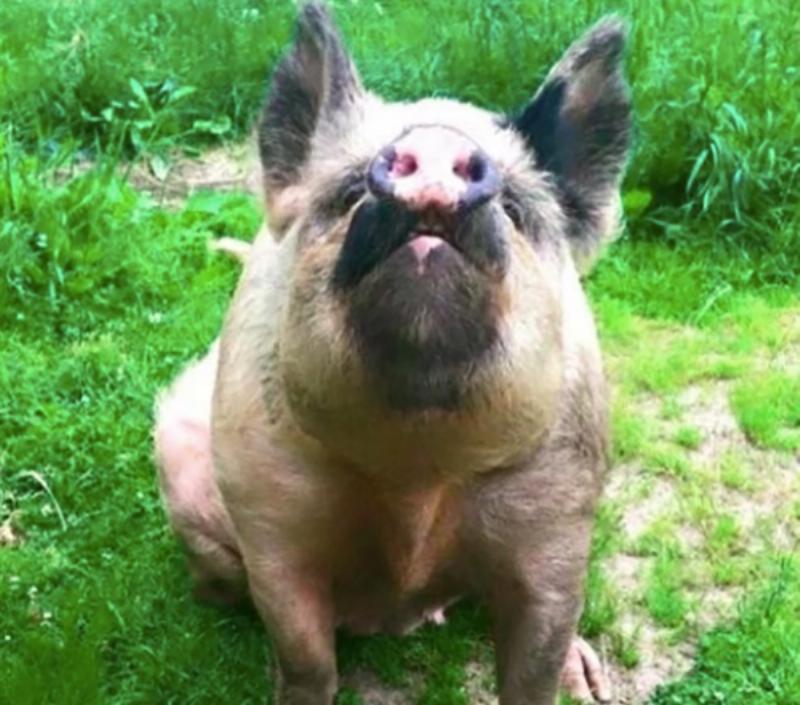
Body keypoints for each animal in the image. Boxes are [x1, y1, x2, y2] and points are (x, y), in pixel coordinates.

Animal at [154, 3, 632, 703]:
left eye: (515, 209)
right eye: (350, 191)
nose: (434, 145)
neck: (414, 469)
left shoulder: (559, 517)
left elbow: (536, 659)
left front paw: (575, 683)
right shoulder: (269, 514)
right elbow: (305, 651)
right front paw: (289, 680)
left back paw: (588, 678)